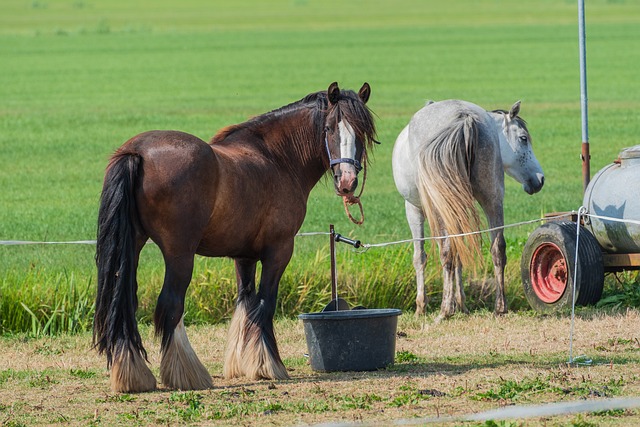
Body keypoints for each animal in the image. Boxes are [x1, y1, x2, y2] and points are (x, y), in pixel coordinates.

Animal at [94, 82, 376, 392]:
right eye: (329, 128)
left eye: (362, 131)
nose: (347, 182)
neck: (277, 158)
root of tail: (138, 152)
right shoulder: (279, 251)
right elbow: (265, 303)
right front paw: (268, 366)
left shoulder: (244, 256)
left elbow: (245, 303)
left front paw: (245, 364)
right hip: (180, 254)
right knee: (171, 305)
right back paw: (187, 375)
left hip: (132, 246)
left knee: (125, 304)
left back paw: (132, 375)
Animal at [392, 99, 544, 320]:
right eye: (523, 139)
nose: (539, 179)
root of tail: (464, 117)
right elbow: (459, 255)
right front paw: (461, 304)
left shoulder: (413, 208)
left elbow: (421, 257)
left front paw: (422, 306)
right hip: (492, 198)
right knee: (498, 248)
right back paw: (499, 307)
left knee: (447, 253)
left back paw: (444, 311)